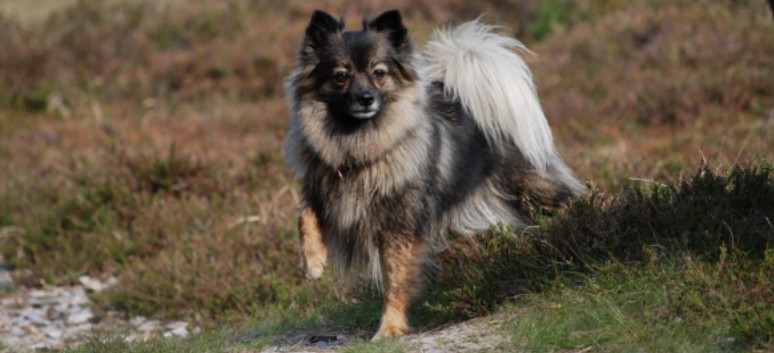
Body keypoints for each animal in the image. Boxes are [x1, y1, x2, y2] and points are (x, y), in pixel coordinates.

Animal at [286, 8, 588, 338]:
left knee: (569, 197)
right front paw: (313, 262)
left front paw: (389, 329)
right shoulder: (329, 195)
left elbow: (396, 281)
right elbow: (304, 215)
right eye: (342, 75)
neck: (359, 146)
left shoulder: (399, 225)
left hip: (533, 187)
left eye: (379, 73)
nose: (366, 98)